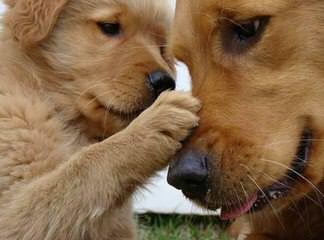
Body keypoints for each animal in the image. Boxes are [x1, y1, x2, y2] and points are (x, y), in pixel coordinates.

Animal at [0, 0, 200, 240]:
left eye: (162, 47)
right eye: (109, 27)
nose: (164, 82)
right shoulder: (11, 211)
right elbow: (81, 170)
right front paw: (155, 124)